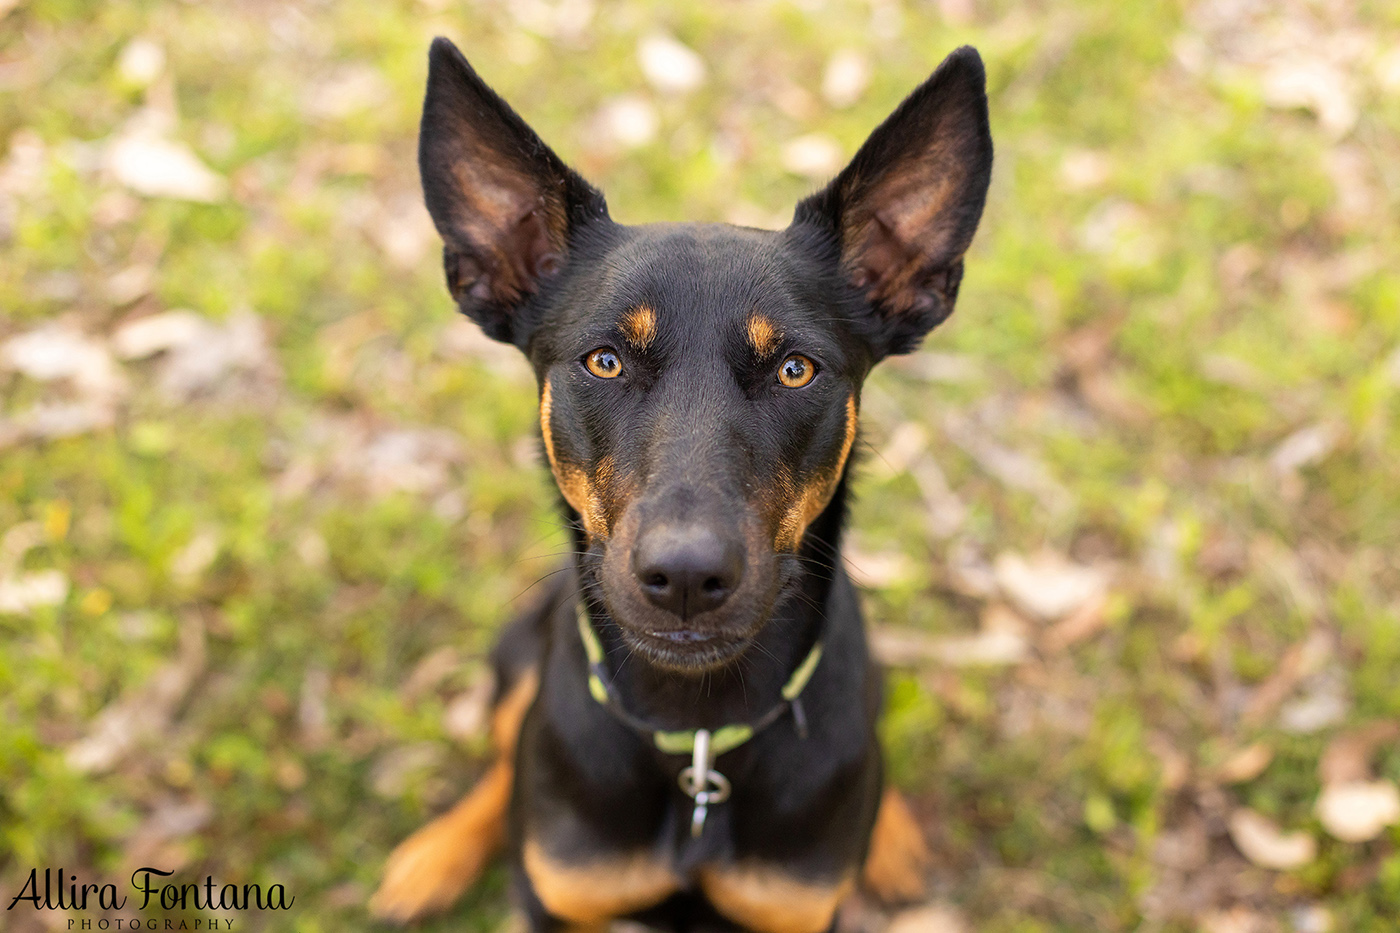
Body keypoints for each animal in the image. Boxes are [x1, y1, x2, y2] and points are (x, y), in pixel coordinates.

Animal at [366, 36, 991, 930]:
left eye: (795, 369)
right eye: (605, 360)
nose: (688, 576)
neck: (696, 738)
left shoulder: (798, 909)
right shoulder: (559, 898)